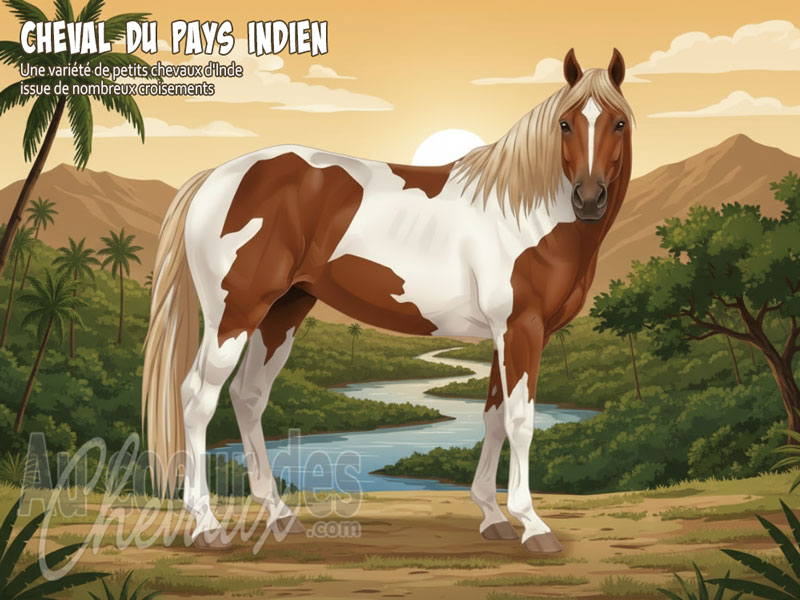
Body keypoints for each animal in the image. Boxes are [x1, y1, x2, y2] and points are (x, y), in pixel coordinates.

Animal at [143, 48, 634, 553]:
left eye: (618, 123)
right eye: (565, 124)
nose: (588, 199)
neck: (524, 214)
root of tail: (216, 178)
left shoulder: (509, 336)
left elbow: (495, 417)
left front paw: (492, 515)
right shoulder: (520, 329)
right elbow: (520, 421)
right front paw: (533, 525)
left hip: (283, 311)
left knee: (248, 396)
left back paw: (279, 514)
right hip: (234, 314)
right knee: (198, 398)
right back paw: (207, 525)